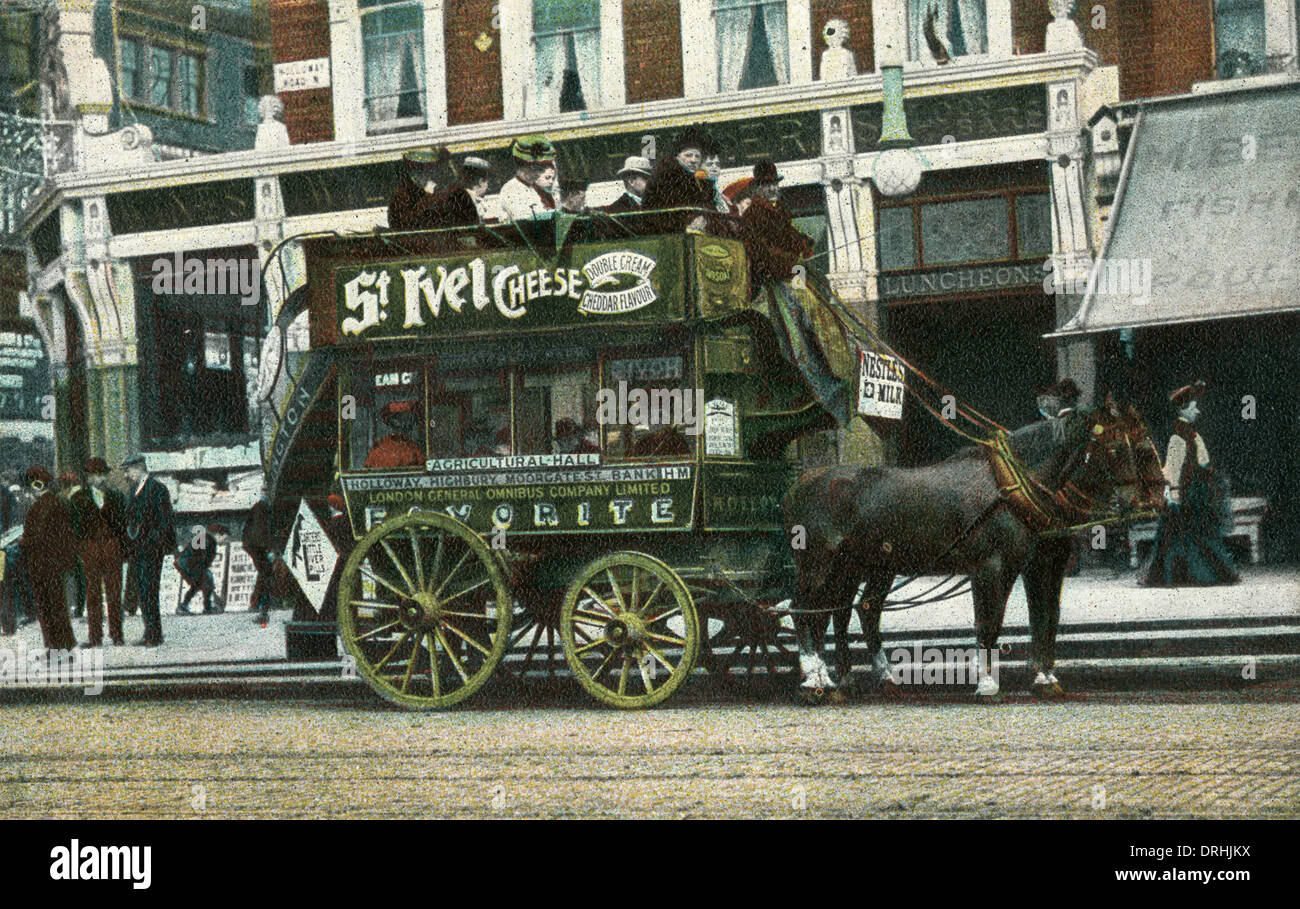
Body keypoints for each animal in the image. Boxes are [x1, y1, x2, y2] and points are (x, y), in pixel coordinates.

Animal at [780, 400, 1170, 702]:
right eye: (1119, 448)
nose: (1152, 502)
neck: (1012, 488)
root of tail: (801, 483)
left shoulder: (1036, 565)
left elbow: (1043, 618)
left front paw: (1044, 678)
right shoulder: (992, 567)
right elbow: (989, 623)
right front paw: (986, 683)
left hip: (863, 567)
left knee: (849, 612)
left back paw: (859, 678)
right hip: (819, 565)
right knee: (803, 612)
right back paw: (815, 680)